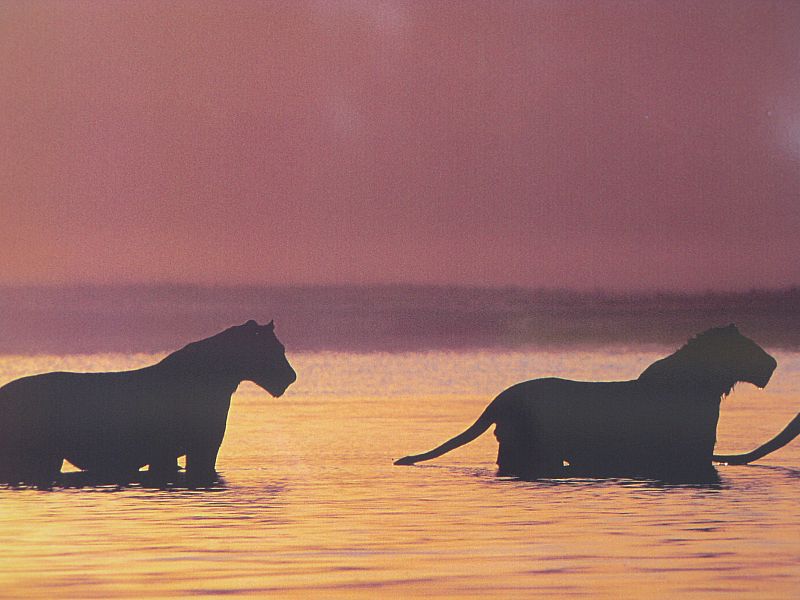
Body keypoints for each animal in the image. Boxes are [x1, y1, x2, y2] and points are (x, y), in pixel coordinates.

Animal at [0, 320, 296, 484]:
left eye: (281, 347)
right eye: (273, 349)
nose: (291, 376)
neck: (221, 377)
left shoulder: (170, 454)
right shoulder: (201, 447)